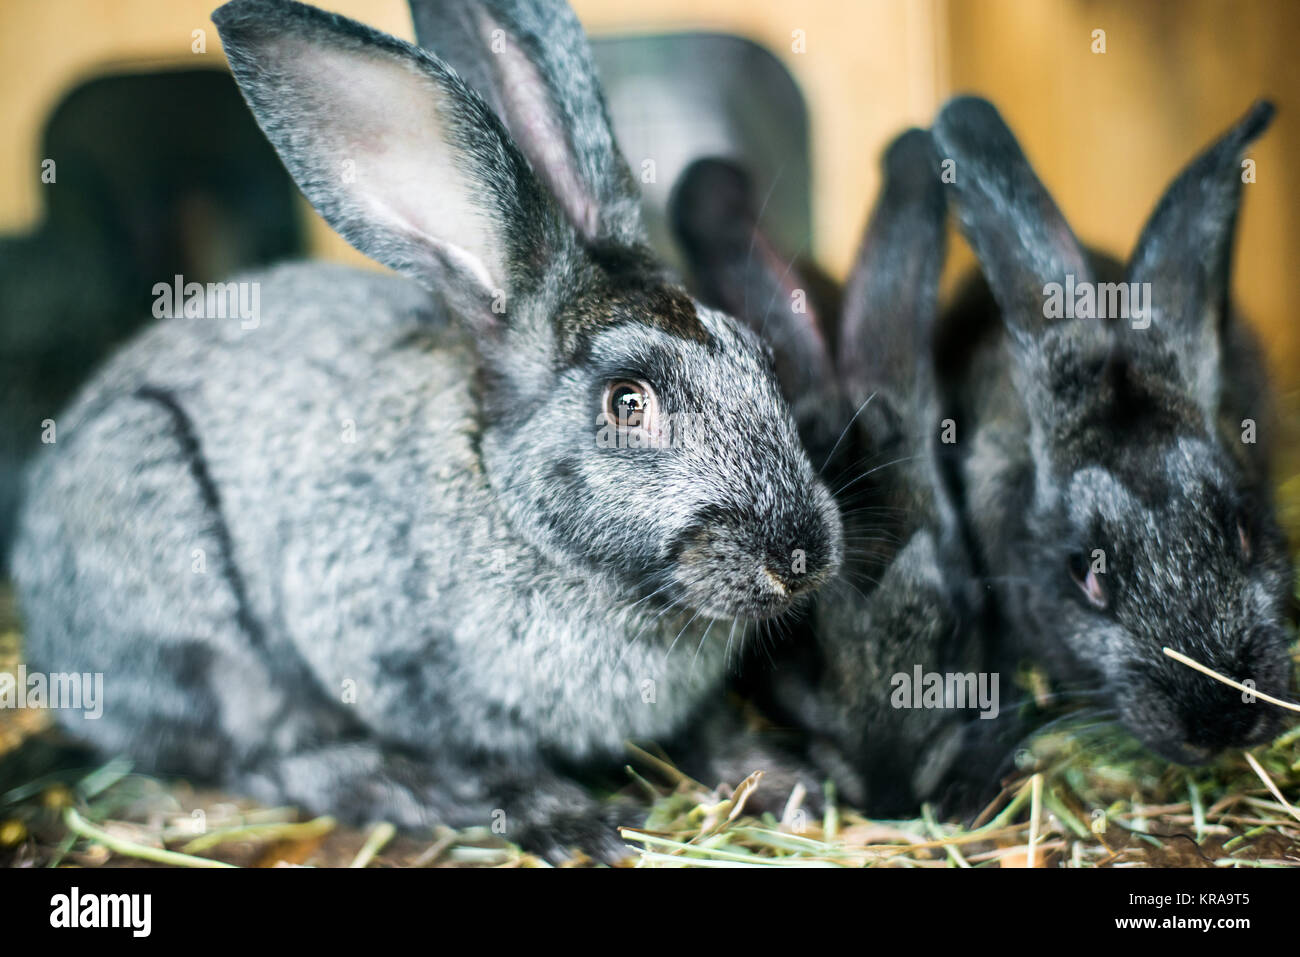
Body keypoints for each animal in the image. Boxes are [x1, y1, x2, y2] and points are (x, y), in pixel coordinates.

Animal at [10, 0, 844, 863]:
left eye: (760, 356)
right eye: (626, 401)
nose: (802, 556)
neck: (513, 512)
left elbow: (711, 731)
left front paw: (788, 786)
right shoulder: (388, 664)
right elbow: (492, 763)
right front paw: (578, 827)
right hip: (194, 605)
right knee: (258, 751)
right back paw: (393, 786)